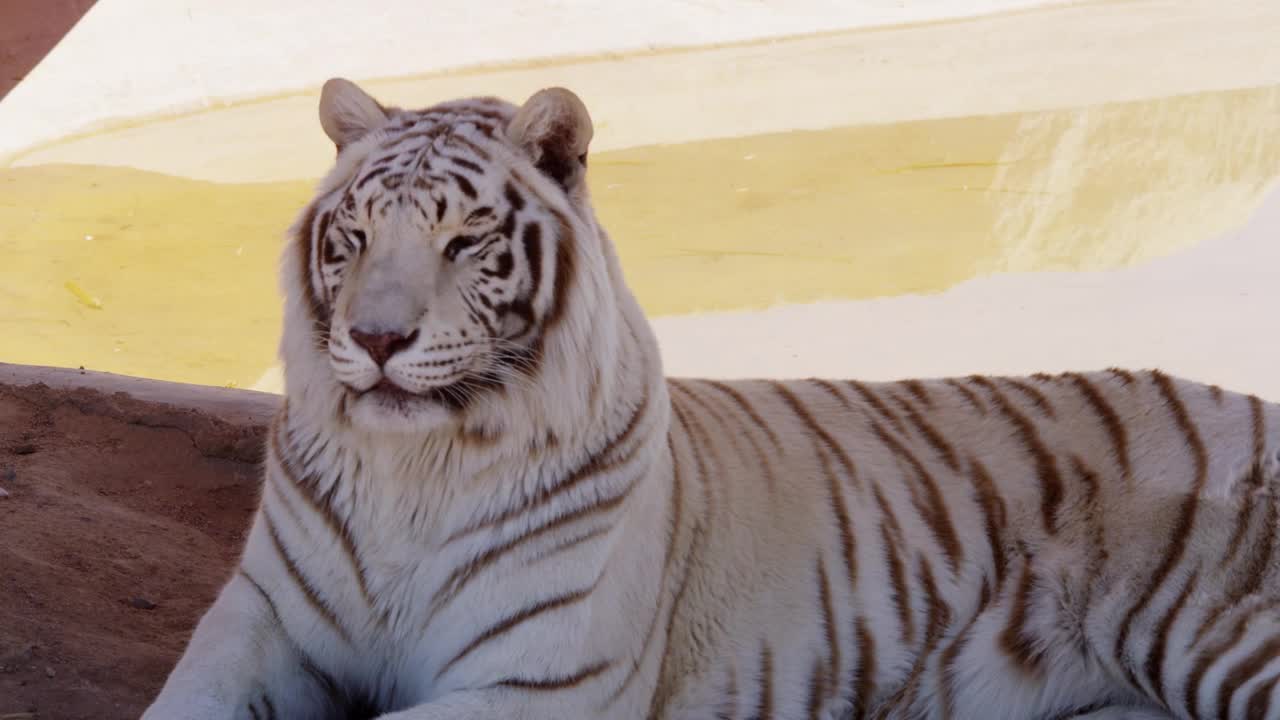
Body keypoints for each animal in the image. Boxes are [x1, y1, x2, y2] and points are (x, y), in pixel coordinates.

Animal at [141, 76, 1280, 720]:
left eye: (463, 240)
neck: (412, 470)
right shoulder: (265, 625)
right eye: (356, 234)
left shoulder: (533, 683)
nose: (377, 341)